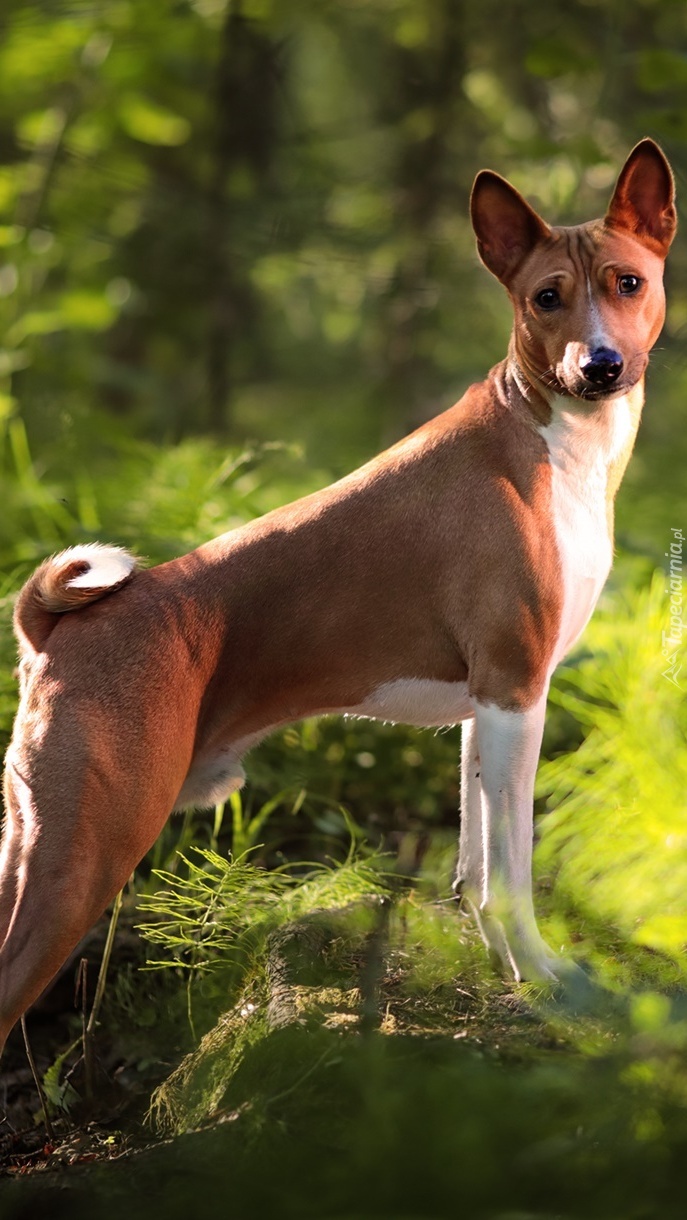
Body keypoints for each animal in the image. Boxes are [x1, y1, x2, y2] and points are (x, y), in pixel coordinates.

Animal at [0, 133, 678, 1049]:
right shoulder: (515, 692)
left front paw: (503, 971)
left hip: (29, 844)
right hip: (85, 854)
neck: (547, 442)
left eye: (627, 283)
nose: (598, 366)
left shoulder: (491, 705)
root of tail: (50, 629)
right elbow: (512, 871)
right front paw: (544, 978)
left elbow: (475, 873)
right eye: (547, 298)